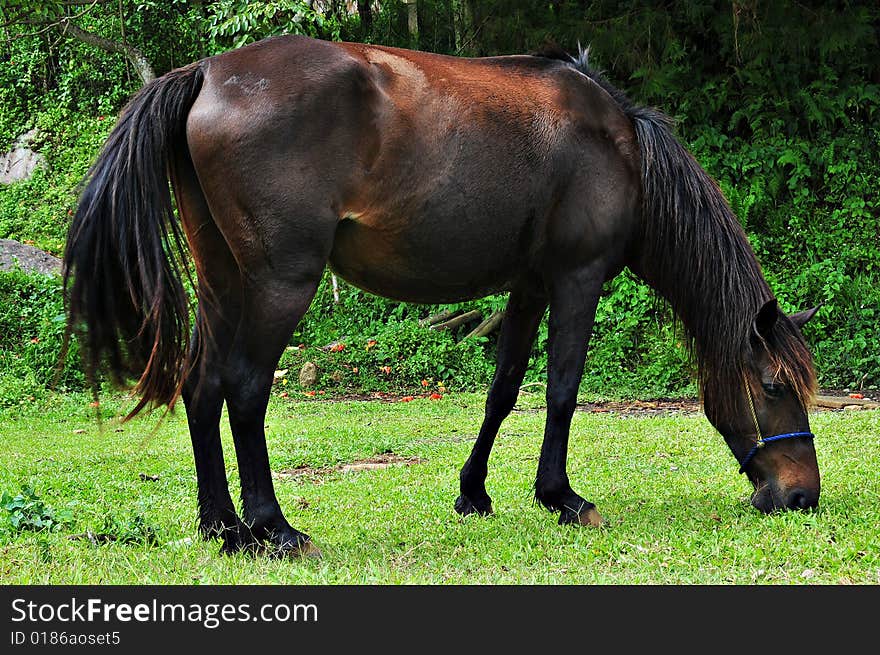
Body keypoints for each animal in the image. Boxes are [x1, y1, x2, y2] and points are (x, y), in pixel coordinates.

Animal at [65, 37, 820, 560]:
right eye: (773, 385)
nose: (801, 495)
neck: (620, 147)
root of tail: (207, 72)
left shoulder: (529, 285)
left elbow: (505, 389)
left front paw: (474, 491)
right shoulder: (576, 281)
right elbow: (563, 390)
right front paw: (562, 497)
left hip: (223, 280)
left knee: (202, 388)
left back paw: (223, 526)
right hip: (279, 284)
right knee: (246, 391)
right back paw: (274, 528)